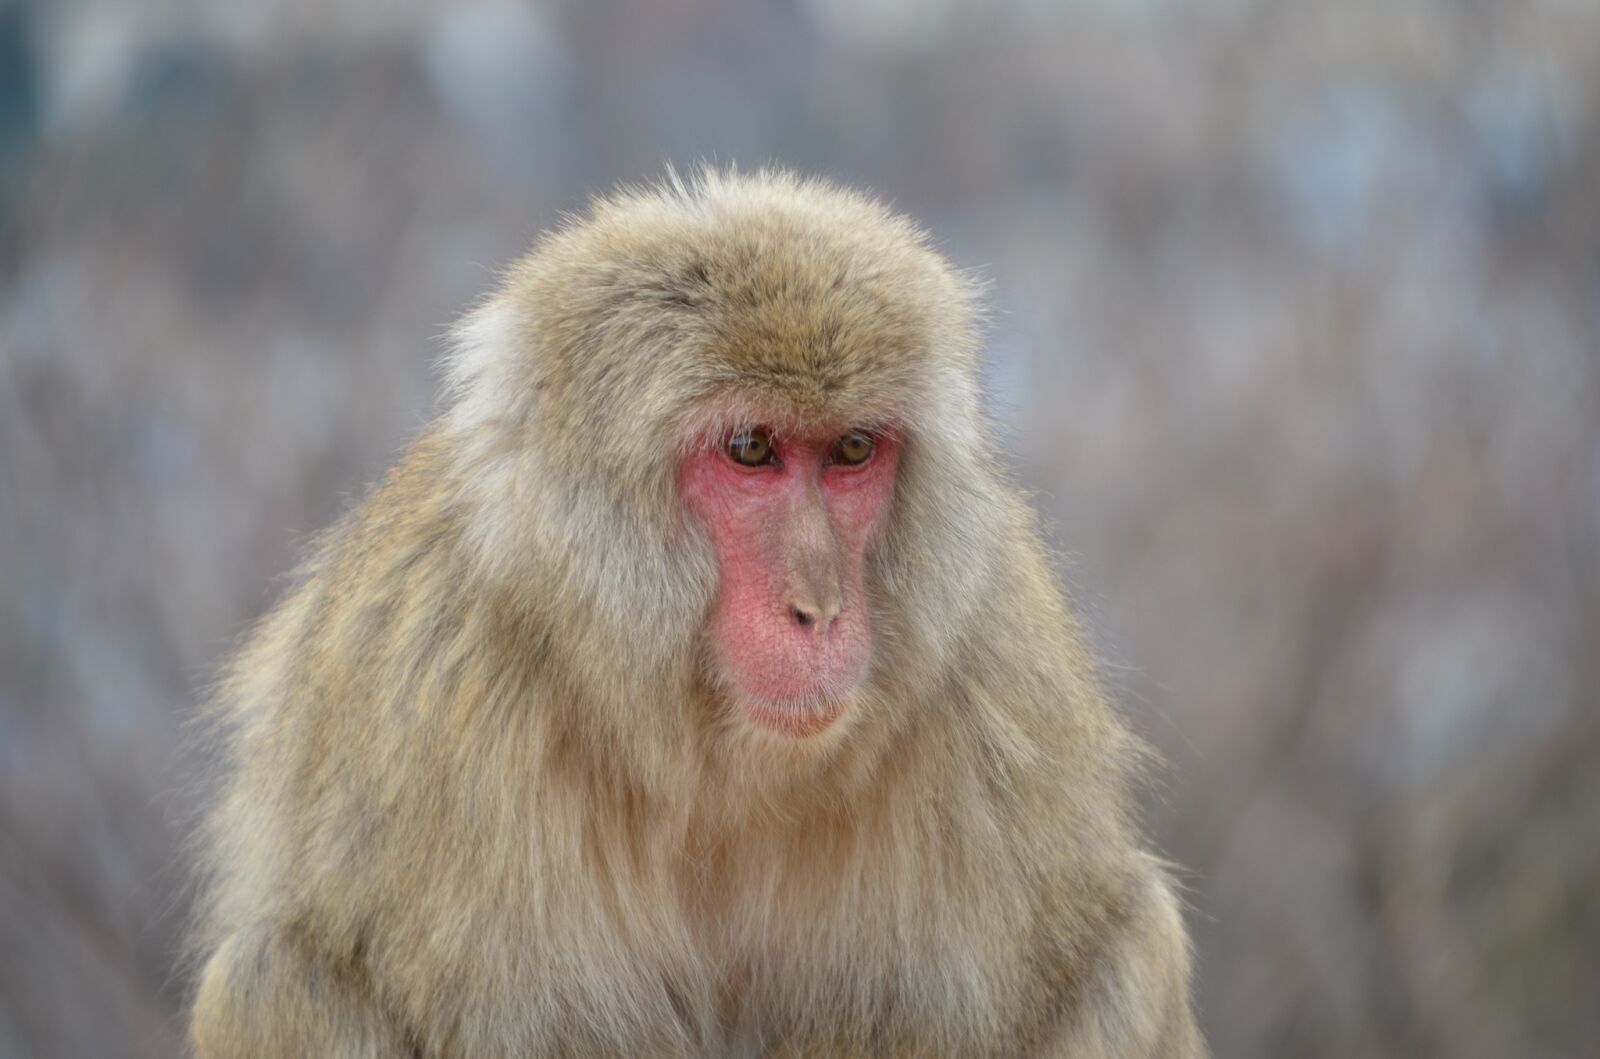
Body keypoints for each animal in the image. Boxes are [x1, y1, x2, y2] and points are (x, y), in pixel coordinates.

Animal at [188, 168, 1205, 1058]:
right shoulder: (436, 702)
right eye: (751, 449)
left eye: (853, 449)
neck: (710, 756)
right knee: (274, 977)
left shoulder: (995, 671)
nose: (819, 608)